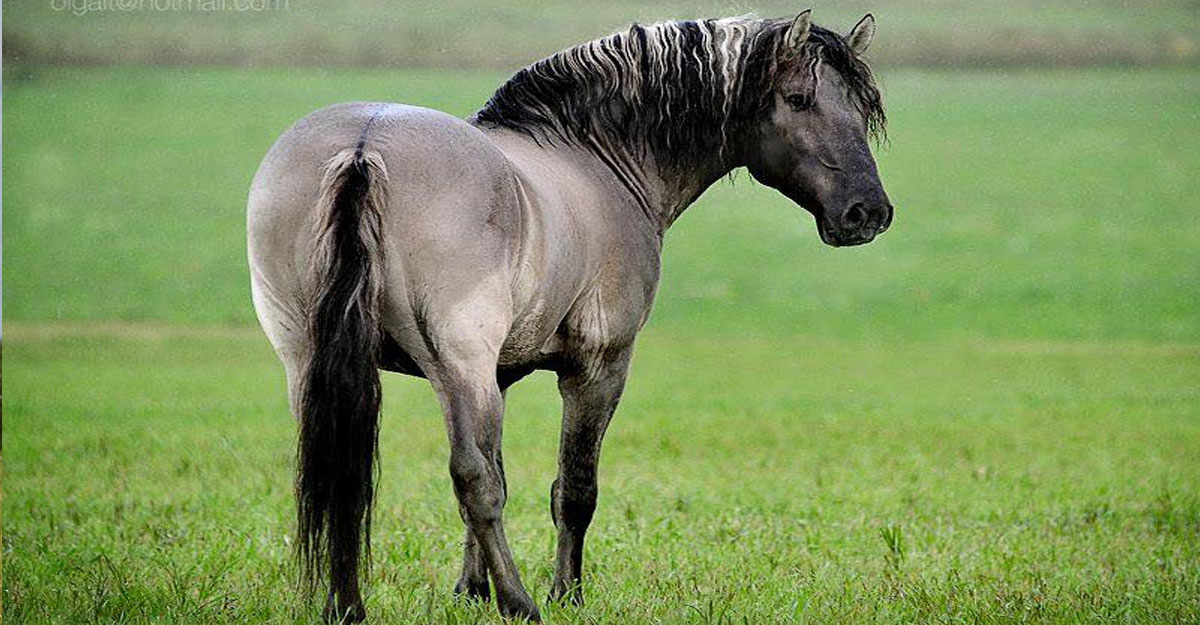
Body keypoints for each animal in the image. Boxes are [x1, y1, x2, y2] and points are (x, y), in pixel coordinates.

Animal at [246, 8, 892, 619]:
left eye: (863, 106)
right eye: (798, 98)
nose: (867, 213)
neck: (594, 158)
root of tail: (363, 147)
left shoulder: (497, 379)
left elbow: (501, 474)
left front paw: (469, 592)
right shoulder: (597, 367)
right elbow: (572, 489)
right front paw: (566, 595)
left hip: (314, 362)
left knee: (339, 471)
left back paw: (346, 605)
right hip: (459, 366)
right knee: (472, 481)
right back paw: (521, 603)